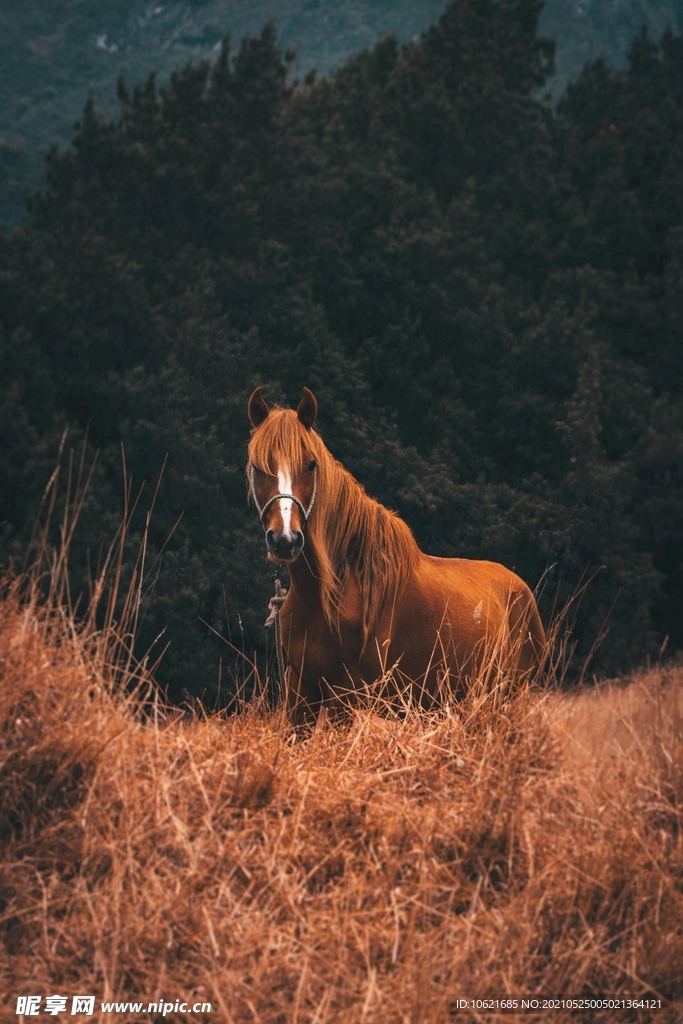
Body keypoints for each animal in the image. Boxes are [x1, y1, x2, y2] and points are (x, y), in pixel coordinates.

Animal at [247, 386, 546, 723]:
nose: (285, 539)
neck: (332, 593)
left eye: (311, 464)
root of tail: (522, 590)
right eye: (256, 466)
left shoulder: (345, 698)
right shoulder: (300, 695)